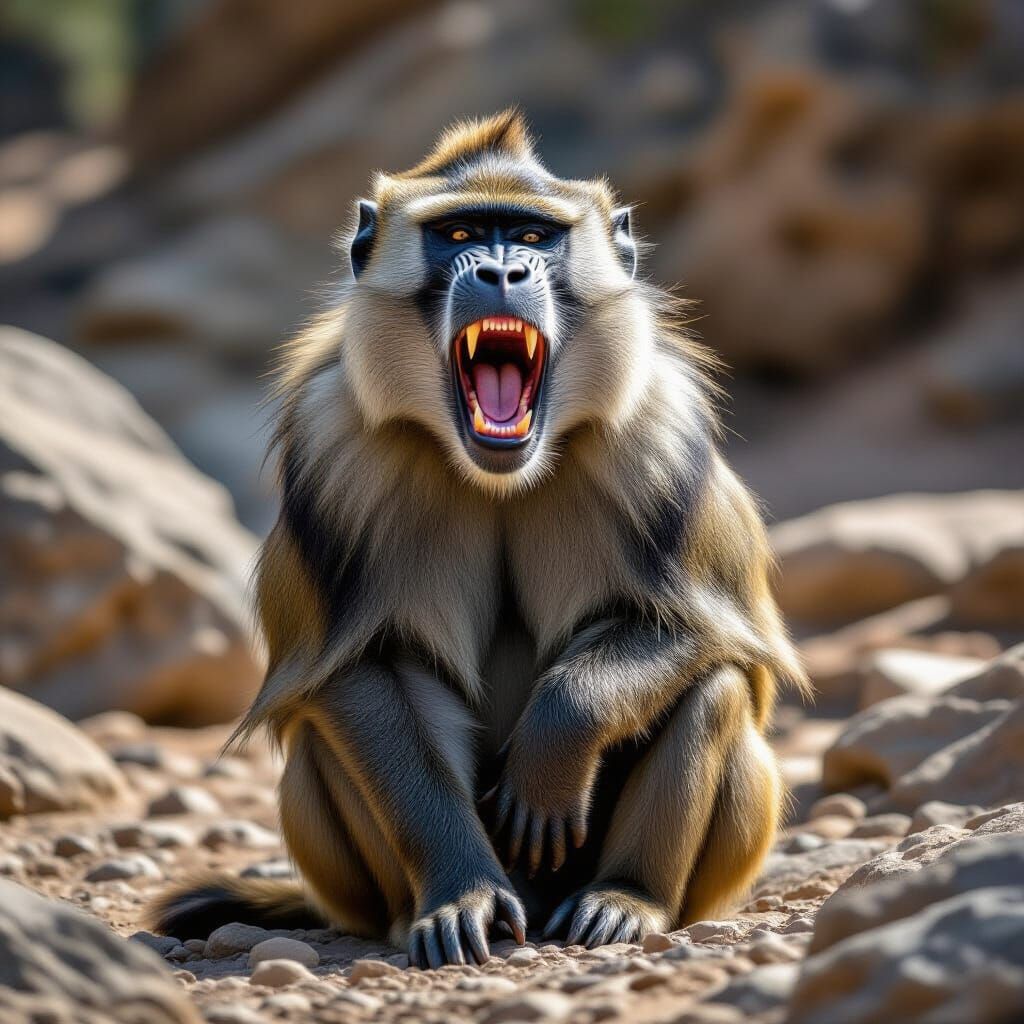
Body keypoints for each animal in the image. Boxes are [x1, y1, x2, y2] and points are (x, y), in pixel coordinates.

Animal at [150, 110, 808, 969]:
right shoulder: (334, 458)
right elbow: (359, 669)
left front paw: (552, 753)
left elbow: (704, 630)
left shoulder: (661, 441)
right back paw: (428, 912)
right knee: (331, 738)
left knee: (715, 686)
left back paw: (626, 901)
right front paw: (461, 895)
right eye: (460, 233)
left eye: (532, 235)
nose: (500, 272)